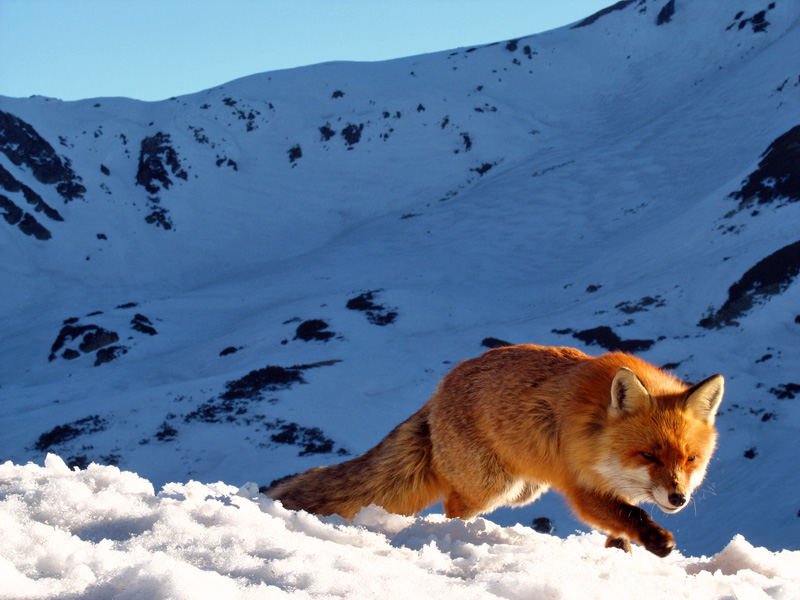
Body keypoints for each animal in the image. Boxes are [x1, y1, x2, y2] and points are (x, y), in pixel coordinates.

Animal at [268, 344, 724, 556]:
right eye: (648, 456)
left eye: (690, 459)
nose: (678, 498)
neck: (597, 433)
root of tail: (436, 394)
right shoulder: (580, 485)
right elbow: (630, 515)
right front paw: (654, 540)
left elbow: (620, 523)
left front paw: (622, 552)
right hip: (494, 487)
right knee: (453, 506)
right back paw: (460, 537)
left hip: (523, 488)